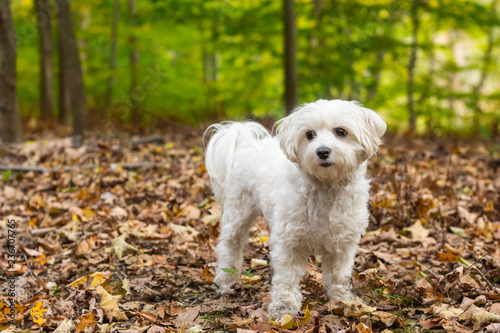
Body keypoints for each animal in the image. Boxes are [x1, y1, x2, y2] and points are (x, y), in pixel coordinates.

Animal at [203, 100, 386, 318]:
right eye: (309, 134)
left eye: (341, 131)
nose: (322, 151)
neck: (326, 188)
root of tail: (247, 144)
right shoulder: (288, 241)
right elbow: (287, 277)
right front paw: (284, 307)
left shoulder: (343, 242)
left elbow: (338, 273)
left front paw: (341, 298)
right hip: (238, 211)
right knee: (229, 245)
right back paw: (227, 280)